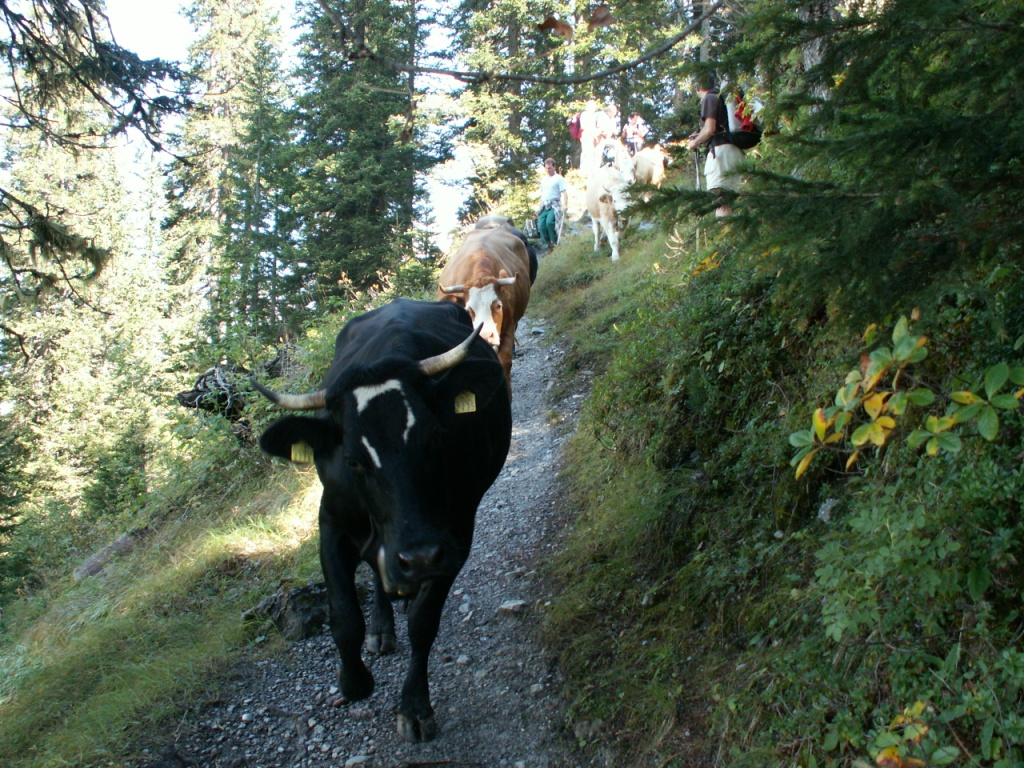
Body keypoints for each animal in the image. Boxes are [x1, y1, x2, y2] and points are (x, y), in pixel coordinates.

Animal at [253, 299, 512, 743]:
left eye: (435, 439)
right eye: (353, 459)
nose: (418, 557)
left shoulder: (455, 536)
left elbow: (424, 623)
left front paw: (415, 707)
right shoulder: (332, 521)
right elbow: (343, 615)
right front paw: (354, 681)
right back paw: (382, 624)